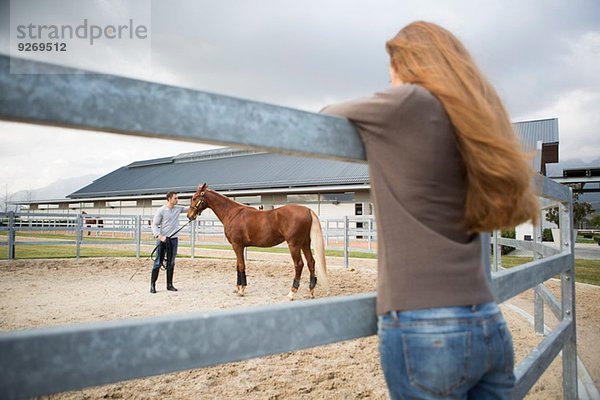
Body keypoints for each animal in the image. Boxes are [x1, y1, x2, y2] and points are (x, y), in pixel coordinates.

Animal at [188, 183, 328, 298]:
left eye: (194, 198)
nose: (189, 216)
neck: (232, 213)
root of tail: (308, 210)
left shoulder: (237, 245)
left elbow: (241, 265)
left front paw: (242, 290)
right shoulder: (239, 246)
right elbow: (238, 265)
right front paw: (238, 287)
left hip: (294, 245)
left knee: (299, 265)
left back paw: (292, 293)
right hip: (305, 244)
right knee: (311, 263)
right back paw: (311, 291)